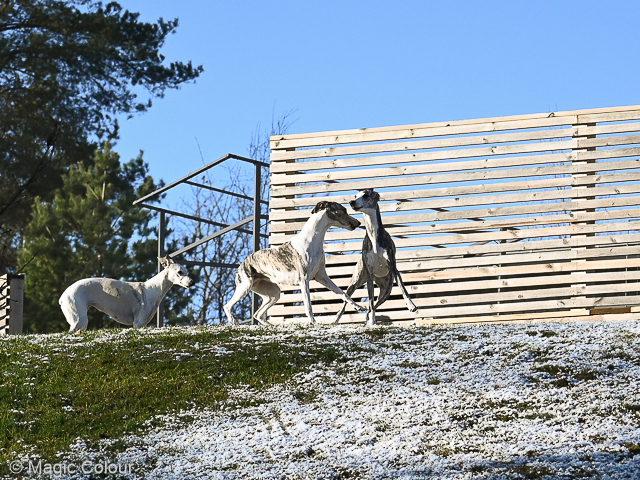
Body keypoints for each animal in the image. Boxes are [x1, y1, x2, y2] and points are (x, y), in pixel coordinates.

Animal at [224, 201, 364, 324]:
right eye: (342, 211)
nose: (358, 222)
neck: (312, 240)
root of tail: (241, 265)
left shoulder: (322, 277)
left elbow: (343, 293)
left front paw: (357, 306)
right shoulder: (304, 280)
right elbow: (308, 306)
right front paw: (313, 322)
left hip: (273, 294)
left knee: (258, 314)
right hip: (245, 287)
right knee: (227, 306)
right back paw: (233, 321)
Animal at [332, 189, 418, 328]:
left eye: (366, 195)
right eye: (355, 196)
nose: (351, 202)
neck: (373, 235)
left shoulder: (393, 267)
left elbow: (403, 288)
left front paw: (411, 305)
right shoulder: (369, 275)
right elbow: (370, 301)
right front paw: (372, 321)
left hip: (386, 291)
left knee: (375, 304)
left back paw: (367, 317)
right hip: (355, 282)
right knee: (348, 301)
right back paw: (338, 318)